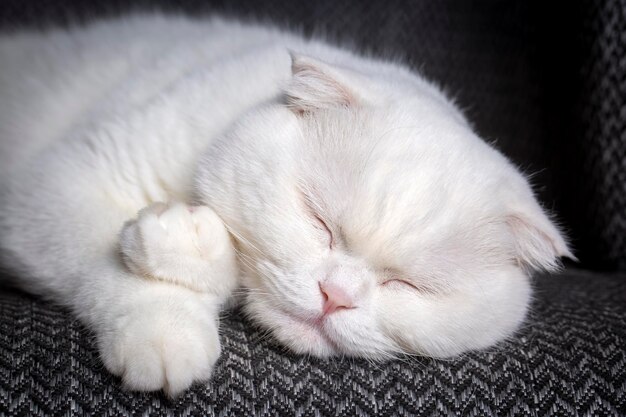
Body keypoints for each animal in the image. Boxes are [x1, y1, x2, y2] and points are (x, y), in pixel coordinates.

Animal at [0, 14, 572, 394]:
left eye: (408, 285)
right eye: (319, 223)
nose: (335, 296)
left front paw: (188, 243)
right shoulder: (60, 182)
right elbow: (115, 266)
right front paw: (167, 335)